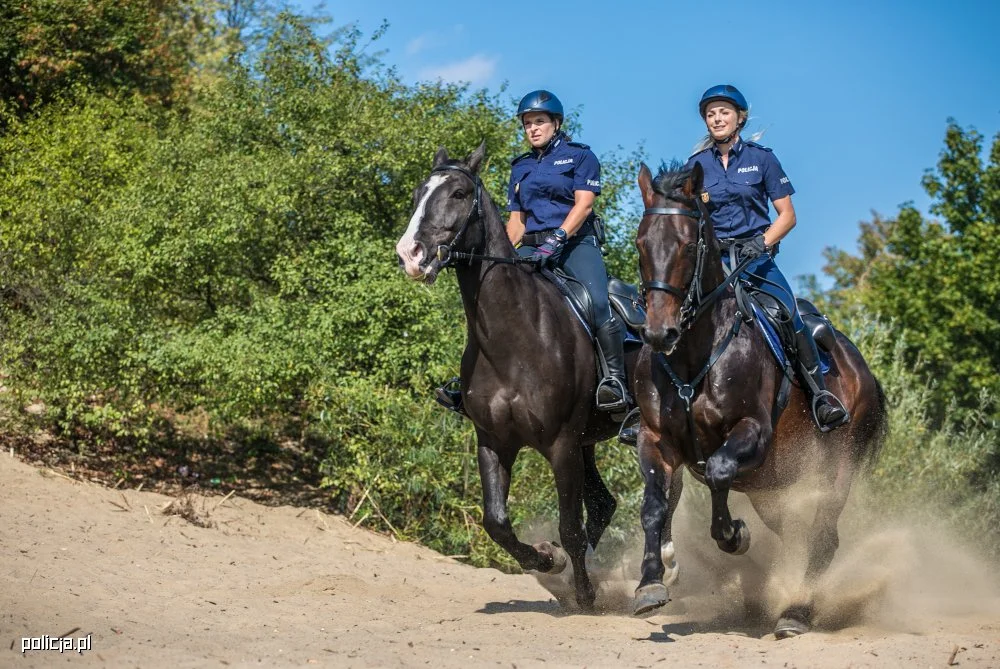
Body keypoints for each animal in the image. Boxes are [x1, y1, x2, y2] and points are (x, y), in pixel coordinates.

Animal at [396, 142, 664, 612]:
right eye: (416, 194)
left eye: (460, 193)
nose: (410, 254)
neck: (514, 339)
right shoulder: (493, 441)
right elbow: (496, 522)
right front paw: (546, 560)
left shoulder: (560, 445)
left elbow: (569, 526)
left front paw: (583, 593)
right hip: (587, 443)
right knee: (604, 505)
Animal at [628, 159, 888, 636]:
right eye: (641, 243)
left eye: (688, 245)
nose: (659, 333)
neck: (695, 355)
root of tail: (860, 365)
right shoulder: (655, 439)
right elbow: (655, 504)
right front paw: (650, 584)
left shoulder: (753, 432)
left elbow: (718, 470)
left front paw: (734, 535)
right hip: (771, 486)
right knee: (792, 532)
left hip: (837, 464)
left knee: (823, 536)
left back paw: (796, 612)